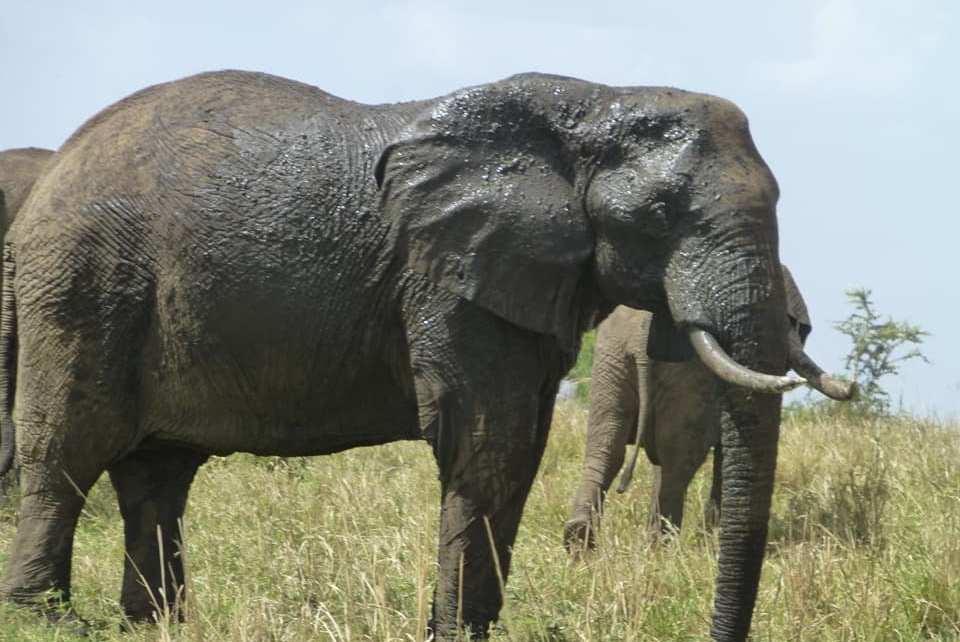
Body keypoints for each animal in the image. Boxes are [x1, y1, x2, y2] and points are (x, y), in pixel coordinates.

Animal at [0, 70, 822, 641]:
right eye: (658, 213)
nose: (713, 630)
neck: (590, 103)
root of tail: (57, 169)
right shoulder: (450, 275)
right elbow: (488, 442)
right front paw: (457, 633)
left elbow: (519, 450)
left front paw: (472, 628)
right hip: (85, 282)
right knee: (68, 453)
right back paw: (48, 619)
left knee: (157, 476)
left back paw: (157, 623)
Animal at [564, 266, 855, 550]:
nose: (852, 386)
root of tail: (640, 333)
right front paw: (711, 540)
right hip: (684, 371)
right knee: (678, 463)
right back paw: (663, 549)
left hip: (611, 360)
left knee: (607, 445)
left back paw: (583, 540)